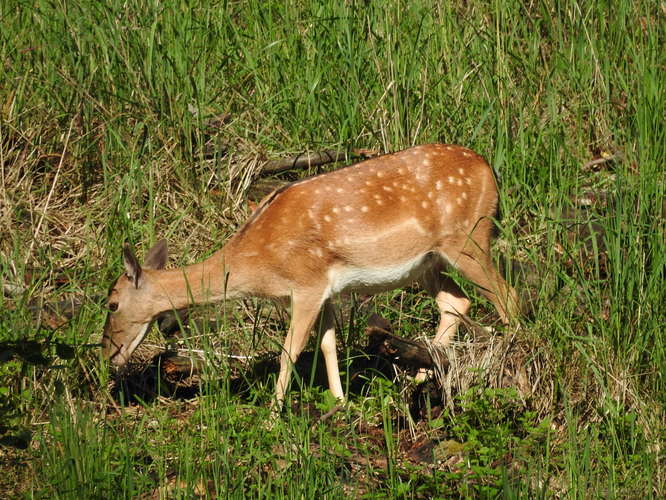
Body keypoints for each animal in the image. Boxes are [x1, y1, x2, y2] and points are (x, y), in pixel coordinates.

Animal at [102, 143, 520, 408]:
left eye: (111, 303)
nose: (108, 354)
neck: (256, 260)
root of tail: (490, 171)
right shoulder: (327, 288)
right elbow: (328, 343)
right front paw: (340, 400)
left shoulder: (305, 283)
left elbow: (290, 349)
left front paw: (272, 415)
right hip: (429, 263)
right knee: (455, 301)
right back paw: (418, 382)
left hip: (468, 238)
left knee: (507, 298)